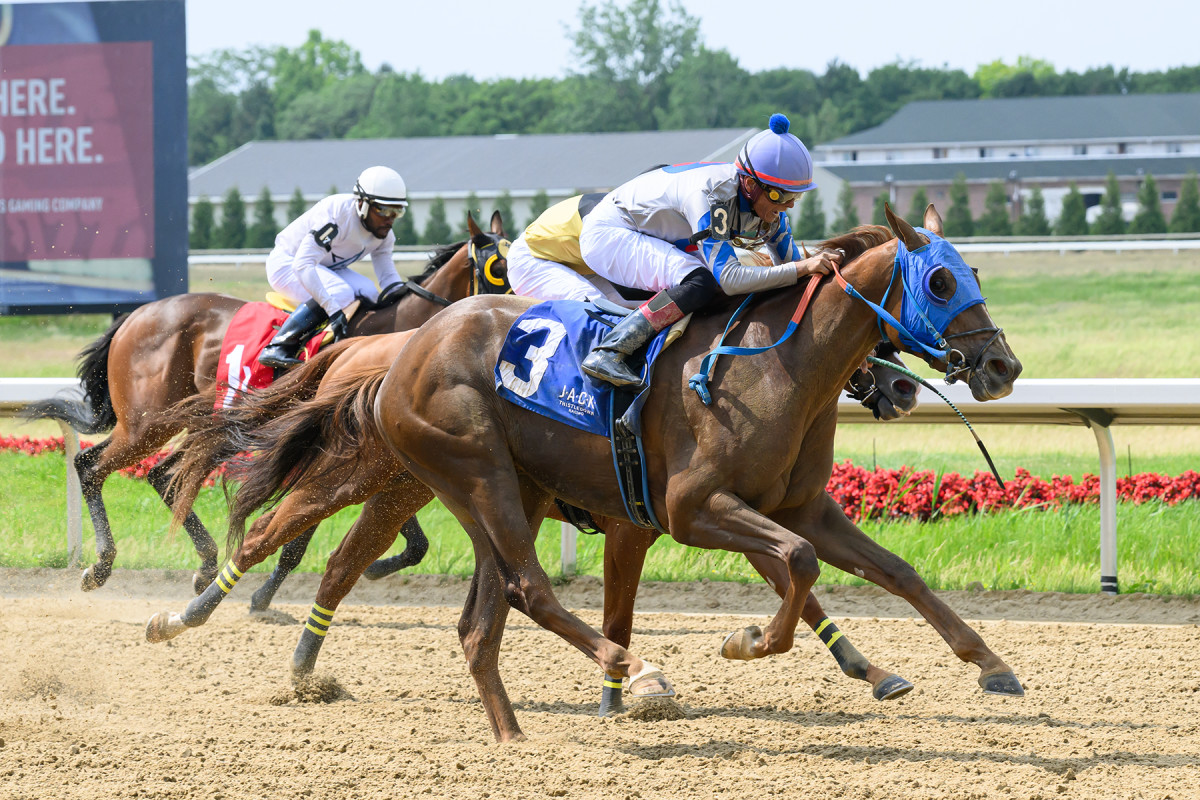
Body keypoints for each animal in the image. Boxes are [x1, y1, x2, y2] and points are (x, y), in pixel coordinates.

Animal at [23, 212, 508, 594]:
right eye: (497, 266)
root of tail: (134, 315)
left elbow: (411, 539)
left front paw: (374, 567)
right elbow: (304, 535)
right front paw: (265, 596)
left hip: (199, 423)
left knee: (165, 473)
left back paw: (204, 565)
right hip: (147, 422)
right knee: (91, 466)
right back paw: (101, 565)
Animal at [367, 205, 1022, 738]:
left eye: (975, 274)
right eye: (939, 282)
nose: (1003, 366)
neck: (778, 367)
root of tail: (402, 359)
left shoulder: (799, 506)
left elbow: (892, 571)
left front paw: (991, 666)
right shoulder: (686, 508)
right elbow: (798, 562)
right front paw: (746, 642)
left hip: (508, 496)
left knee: (483, 622)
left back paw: (512, 738)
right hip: (479, 475)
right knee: (529, 589)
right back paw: (633, 669)